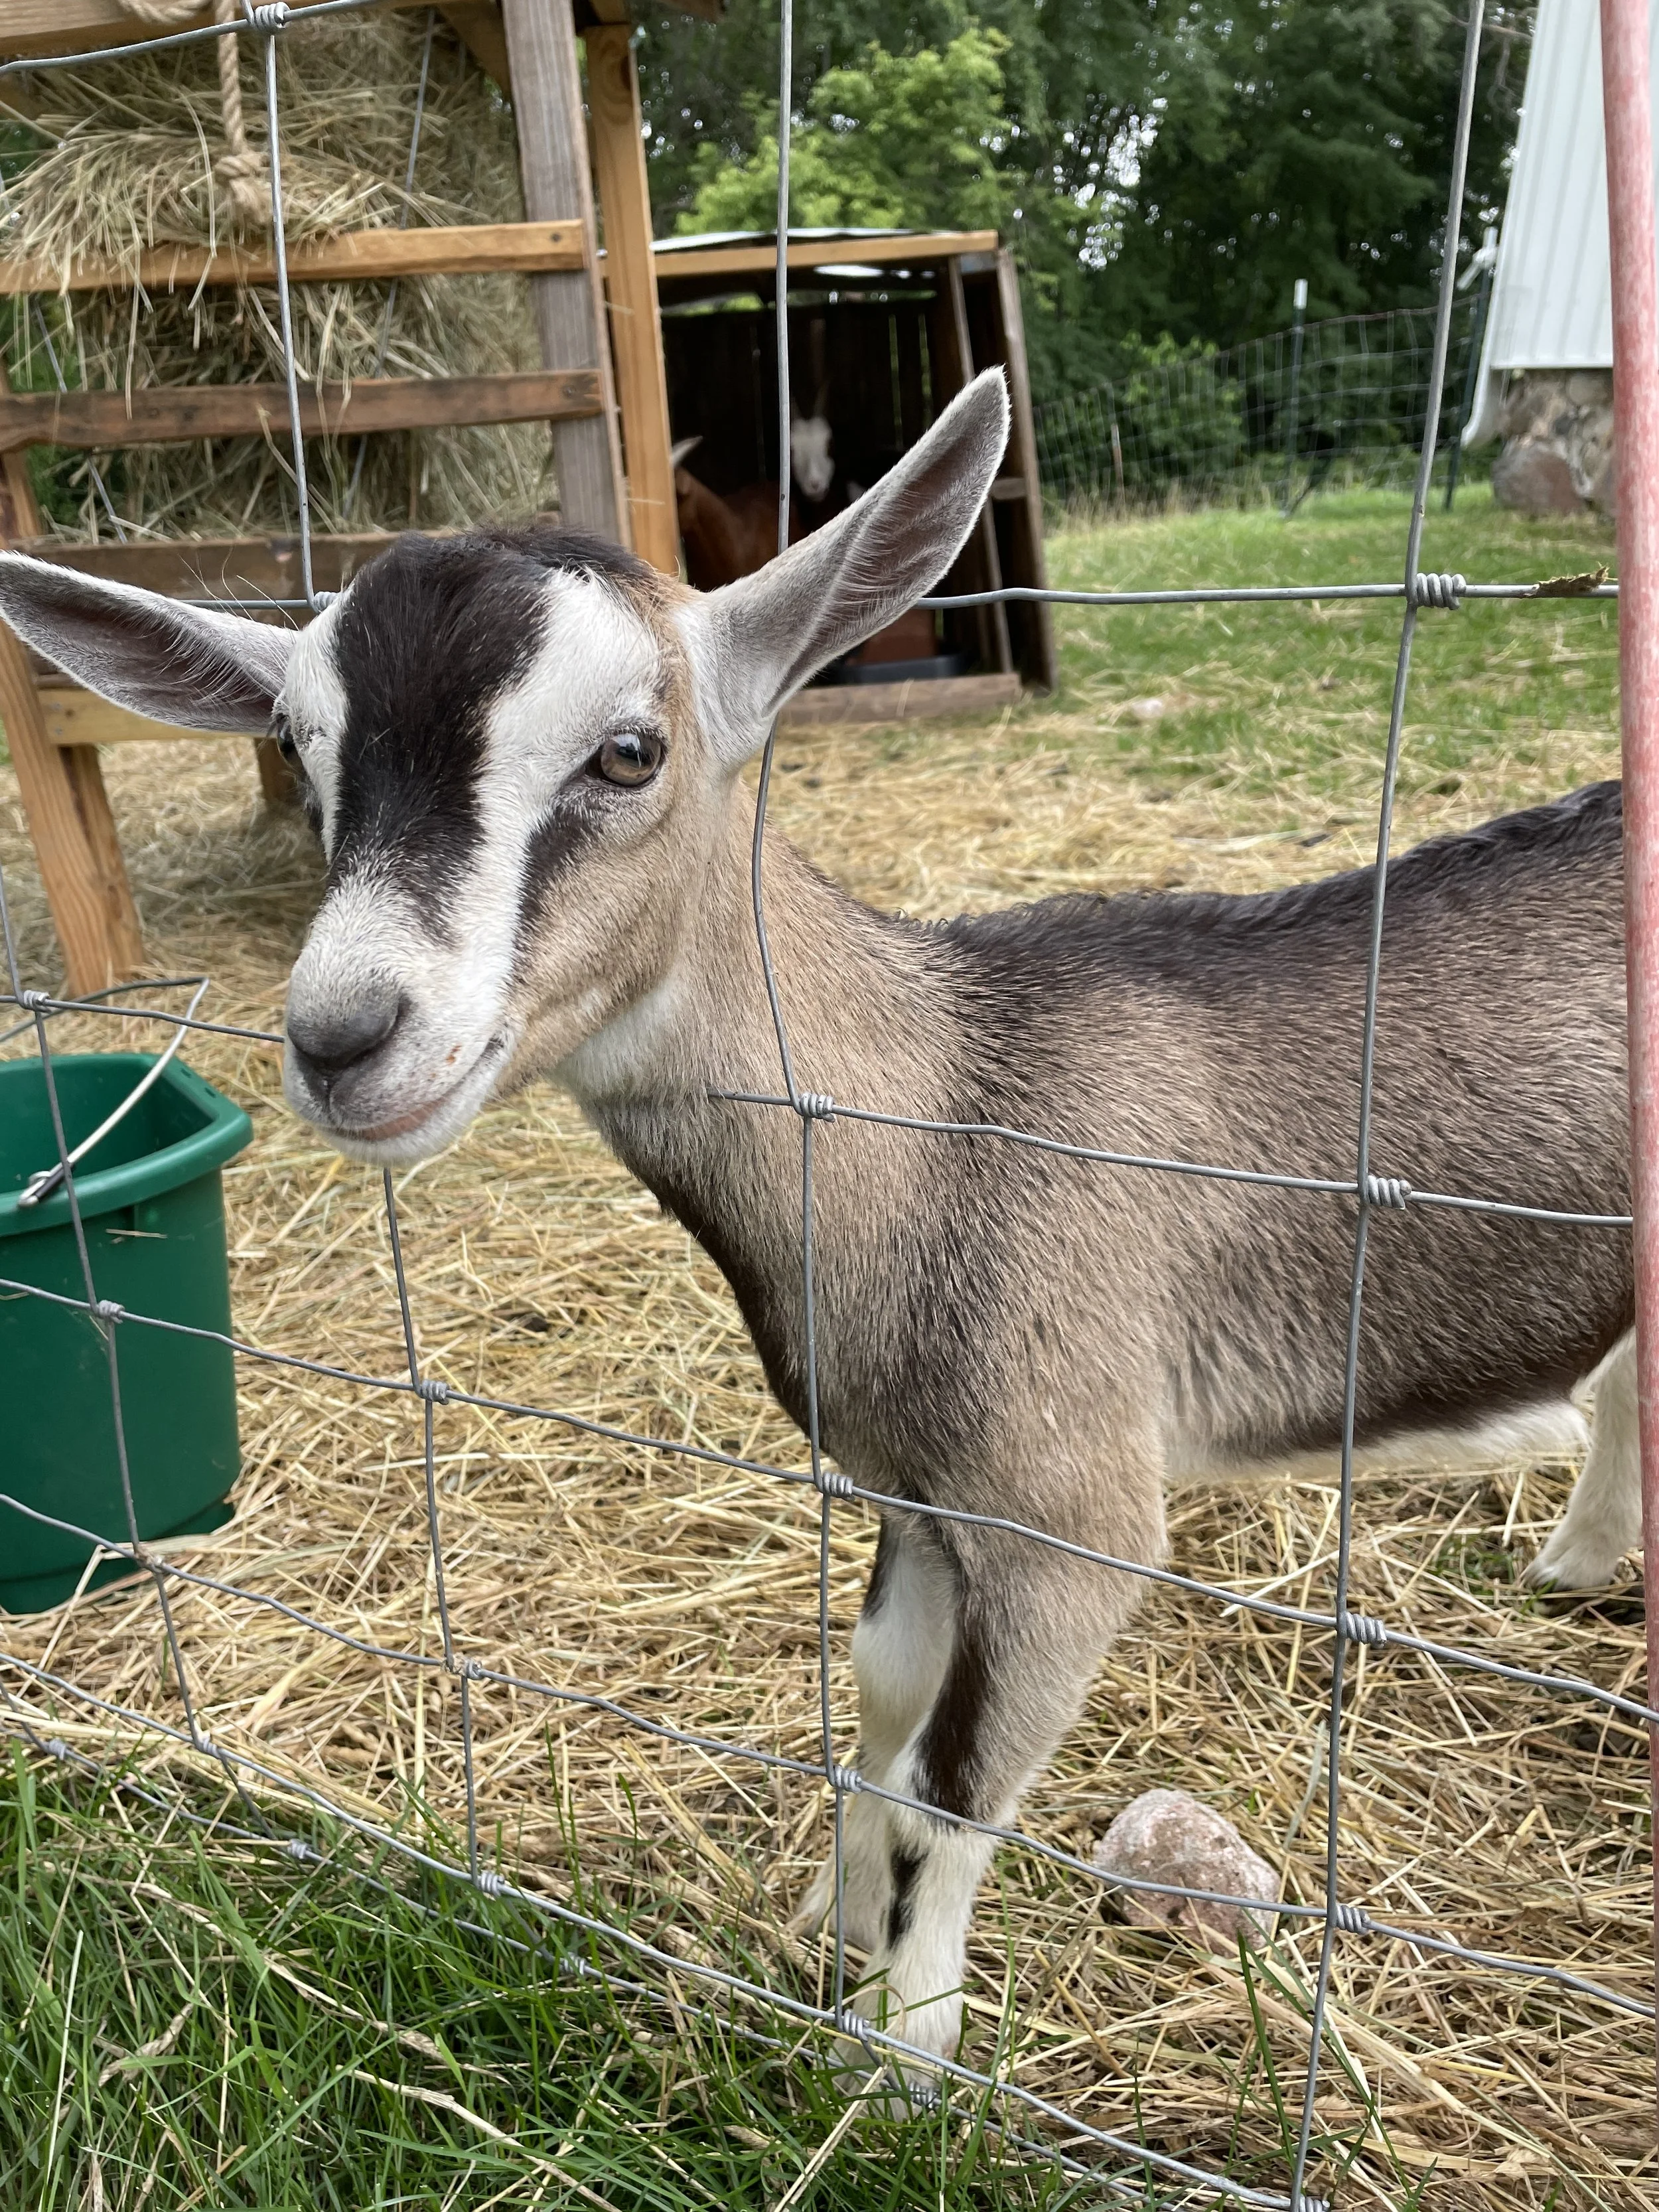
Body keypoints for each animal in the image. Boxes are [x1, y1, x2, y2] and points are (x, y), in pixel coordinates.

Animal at [0, 370, 1635, 2067]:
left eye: (628, 752)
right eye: (308, 766)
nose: (339, 1036)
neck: (946, 1118)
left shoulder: (1068, 1515)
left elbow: (950, 1788)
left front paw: (902, 2059)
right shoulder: (917, 1488)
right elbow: (877, 1702)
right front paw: (835, 1938)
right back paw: (1577, 1566)